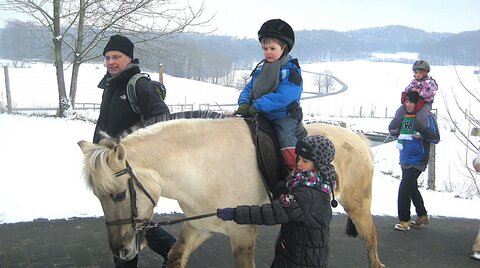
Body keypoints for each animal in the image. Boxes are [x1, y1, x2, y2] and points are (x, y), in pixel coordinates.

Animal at [79, 117, 386, 268]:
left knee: (370, 241)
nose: (121, 251)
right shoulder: (200, 226)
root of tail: (358, 138)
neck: (205, 167)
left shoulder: (243, 234)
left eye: (119, 195)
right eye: (98, 198)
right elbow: (176, 256)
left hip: (358, 204)